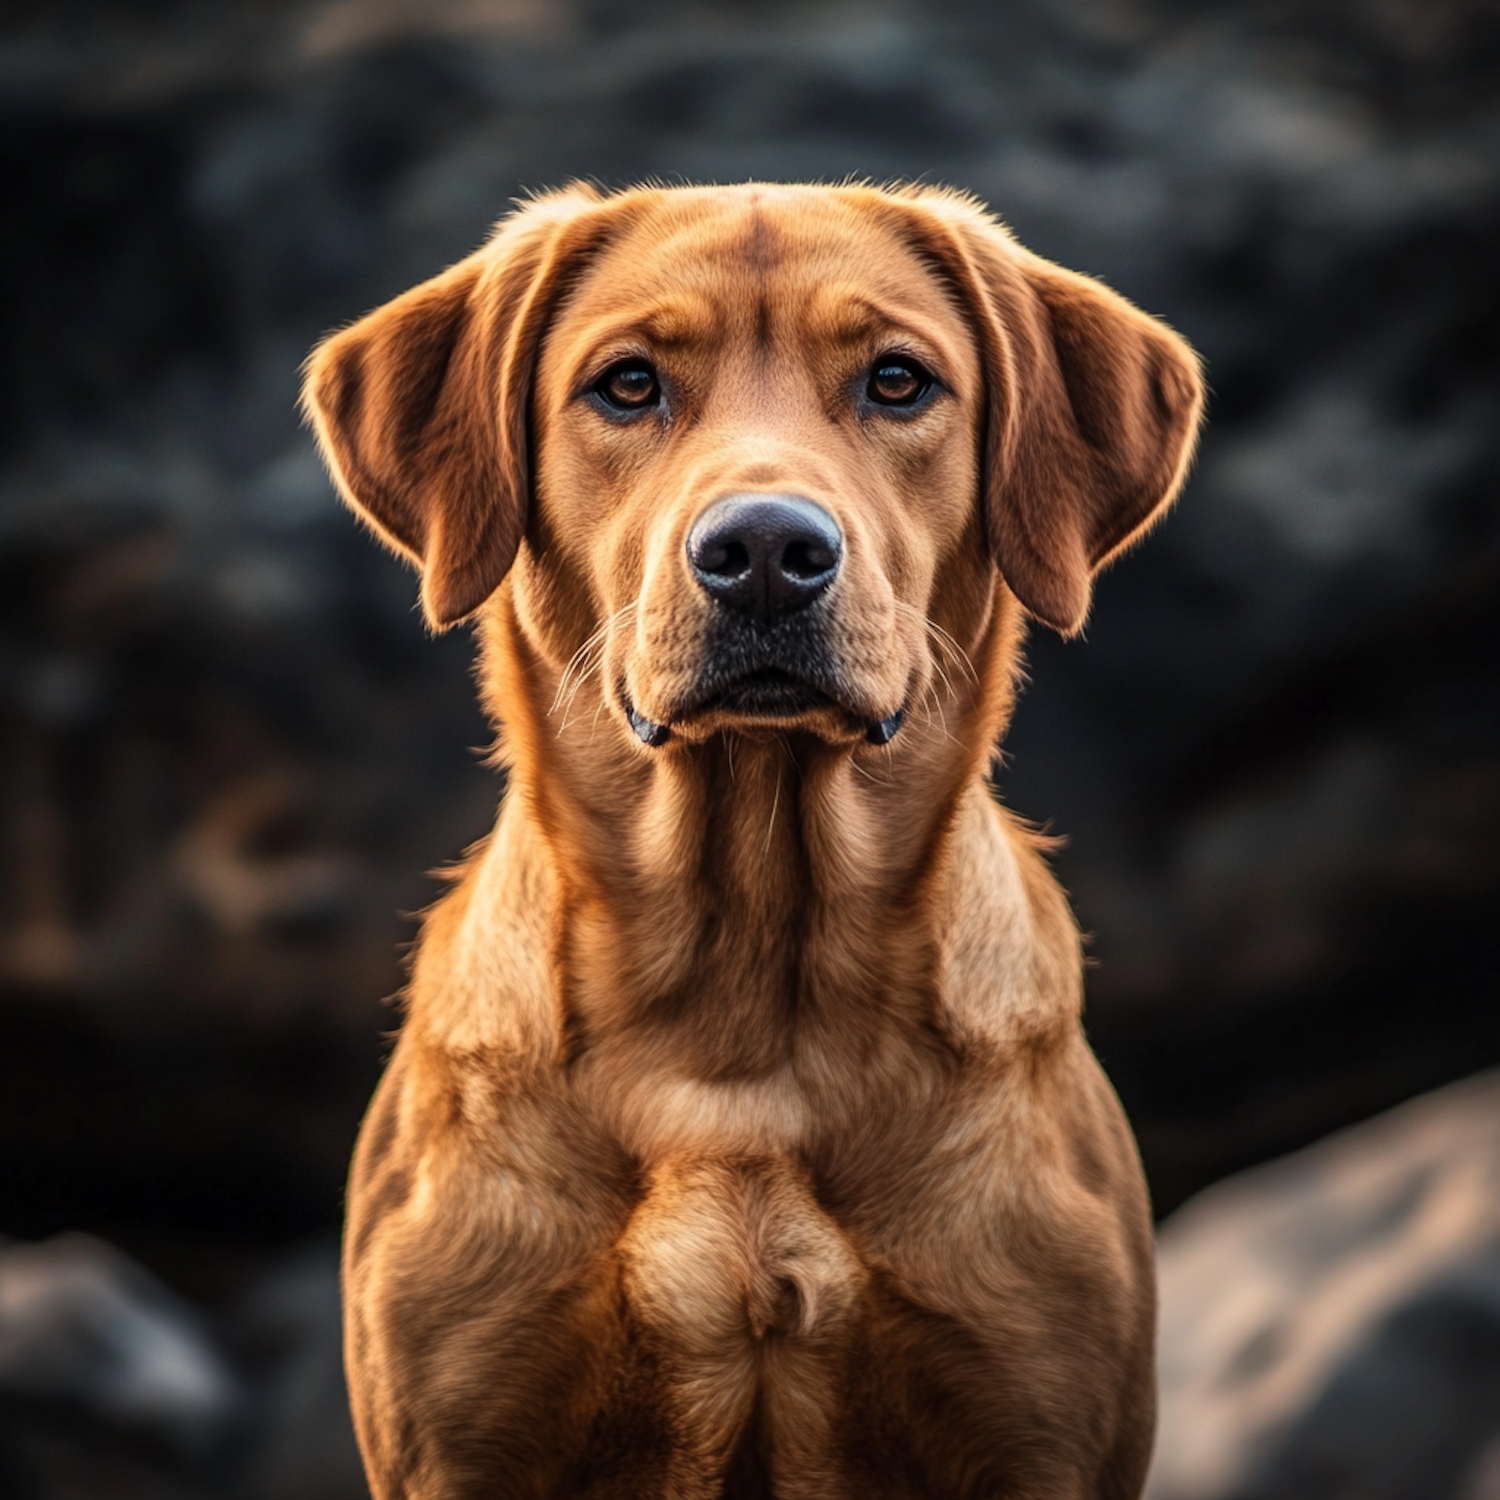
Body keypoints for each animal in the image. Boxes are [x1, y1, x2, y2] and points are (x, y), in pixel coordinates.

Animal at [304, 181, 1206, 1494]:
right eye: (628, 384)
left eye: (898, 380)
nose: (769, 552)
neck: (748, 1003)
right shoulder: (457, 1445)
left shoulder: (1040, 1430)